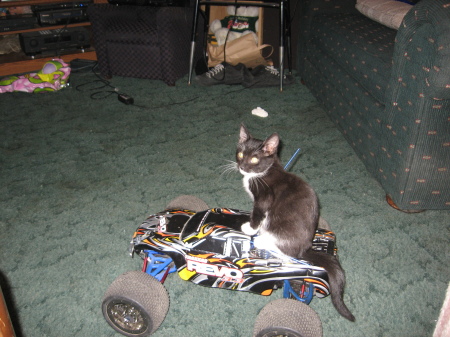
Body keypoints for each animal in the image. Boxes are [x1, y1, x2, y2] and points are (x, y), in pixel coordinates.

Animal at [236, 123, 356, 320]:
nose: (242, 167)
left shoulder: (264, 199)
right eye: (239, 154)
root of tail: (306, 247)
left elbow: (258, 214)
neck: (263, 172)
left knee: (286, 251)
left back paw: (262, 240)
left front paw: (250, 228)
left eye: (254, 159)